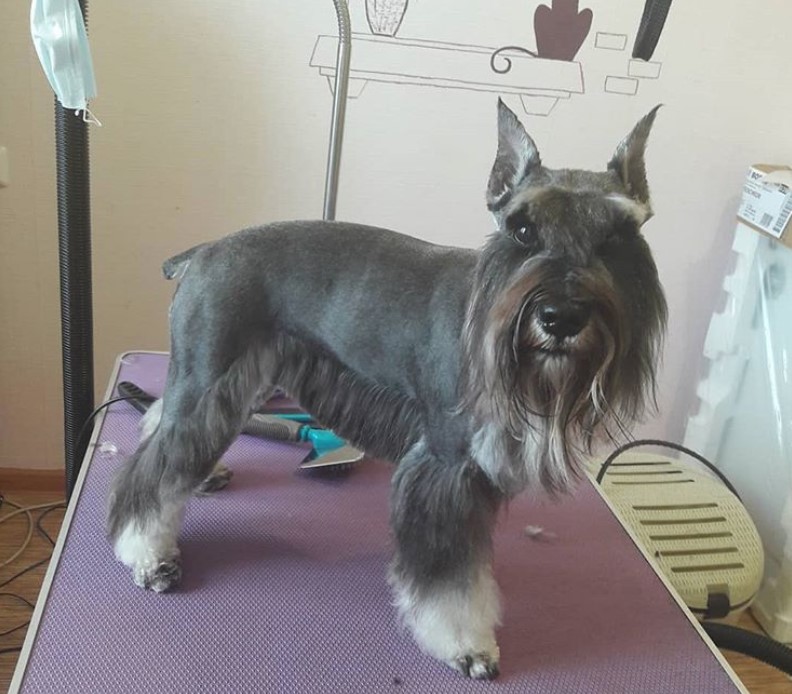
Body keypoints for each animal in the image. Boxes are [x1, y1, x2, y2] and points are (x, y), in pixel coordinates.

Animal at [110, 100, 668, 684]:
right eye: (521, 228)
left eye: (619, 234)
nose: (562, 316)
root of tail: (204, 251)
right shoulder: (445, 467)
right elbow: (450, 579)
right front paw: (466, 644)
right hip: (208, 377)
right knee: (159, 460)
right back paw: (147, 553)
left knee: (160, 426)